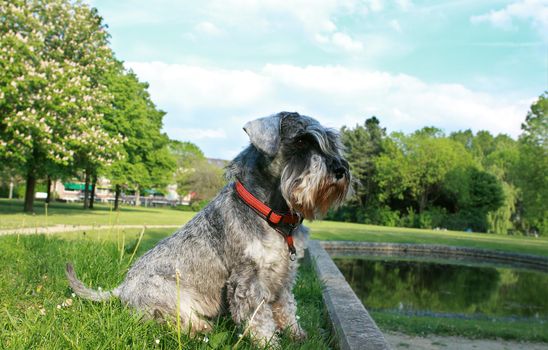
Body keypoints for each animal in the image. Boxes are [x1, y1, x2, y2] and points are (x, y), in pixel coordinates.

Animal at [66, 112, 348, 348]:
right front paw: (270, 344)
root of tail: (121, 289)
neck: (272, 214)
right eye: (300, 141)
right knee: (175, 320)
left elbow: (287, 307)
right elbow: (259, 321)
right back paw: (201, 328)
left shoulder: (284, 276)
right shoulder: (247, 281)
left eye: (332, 142)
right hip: (166, 293)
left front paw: (296, 334)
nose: (340, 169)